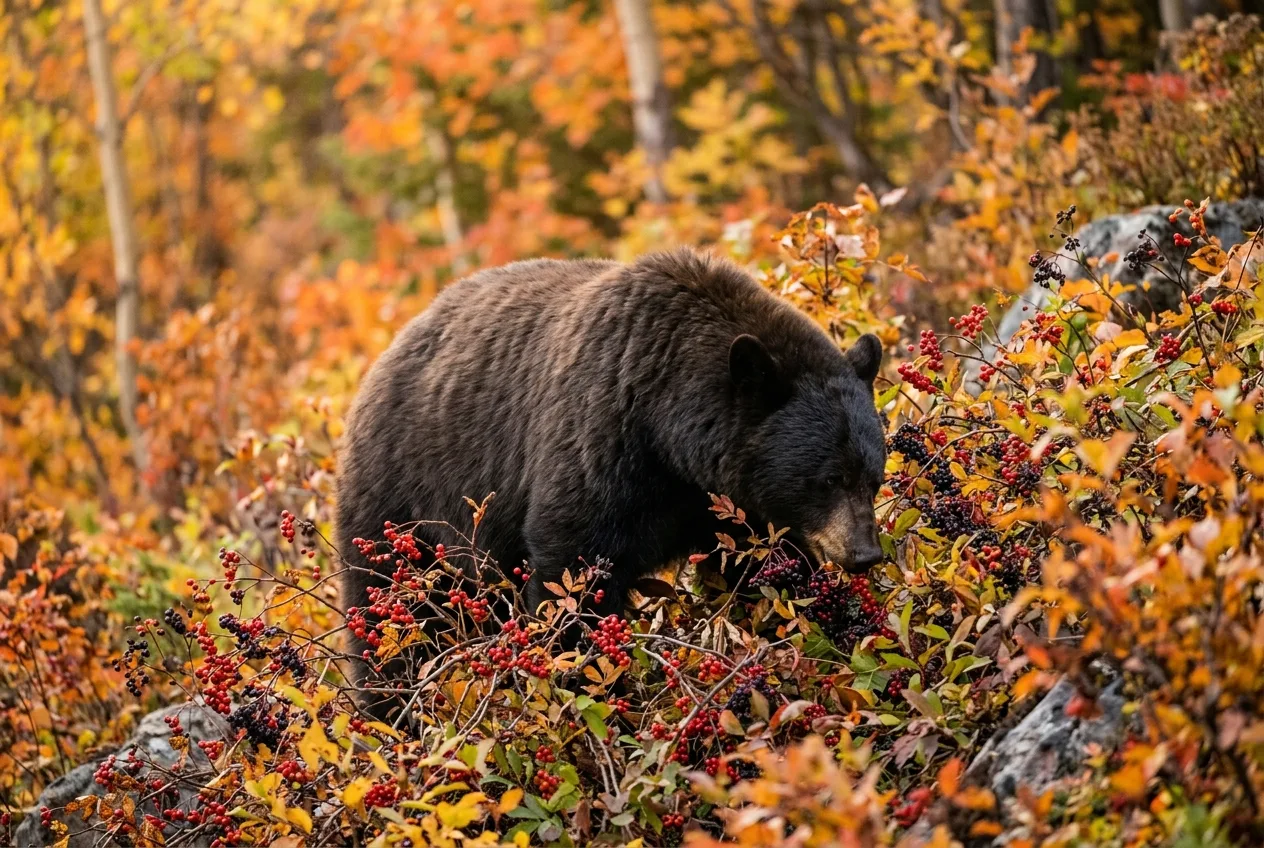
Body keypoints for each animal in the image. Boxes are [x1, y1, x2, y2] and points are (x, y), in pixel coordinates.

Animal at [335, 247, 887, 715]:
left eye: (874, 477)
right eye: (830, 478)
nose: (866, 553)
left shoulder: (729, 504)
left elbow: (764, 570)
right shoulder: (603, 441)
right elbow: (574, 573)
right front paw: (584, 686)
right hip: (403, 505)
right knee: (389, 616)